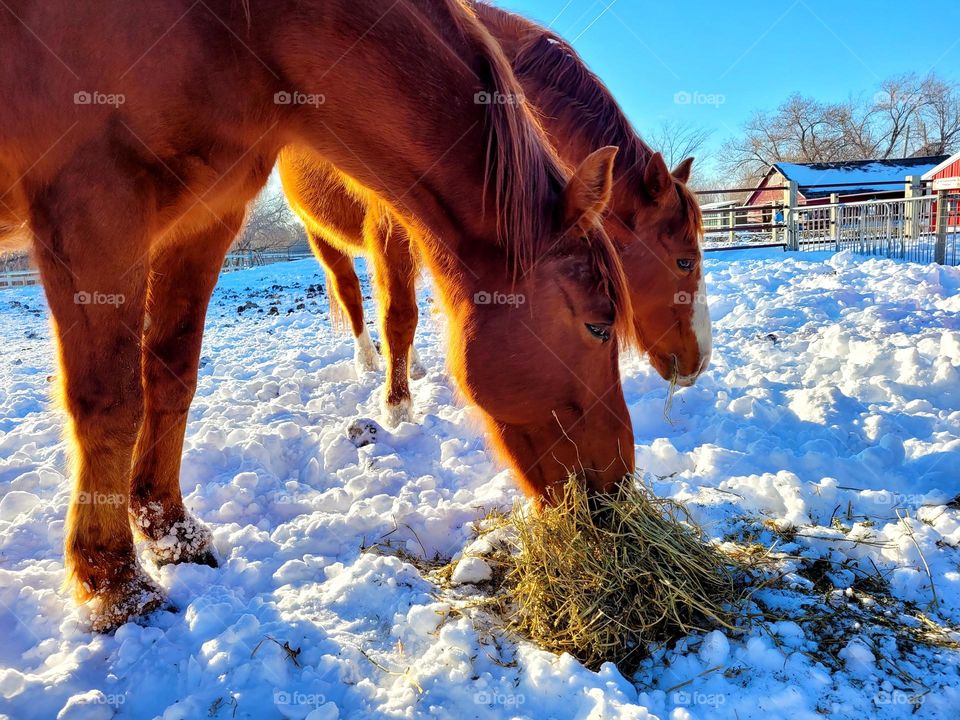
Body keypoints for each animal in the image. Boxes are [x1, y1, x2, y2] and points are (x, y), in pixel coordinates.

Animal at [0, 0, 639, 631]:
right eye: (599, 325)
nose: (617, 488)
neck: (237, 28)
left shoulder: (206, 215)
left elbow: (171, 374)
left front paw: (171, 536)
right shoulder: (95, 210)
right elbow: (112, 403)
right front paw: (117, 586)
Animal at [279, 1, 710, 427]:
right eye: (685, 261)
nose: (701, 361)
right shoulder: (391, 225)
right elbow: (398, 315)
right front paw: (397, 409)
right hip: (321, 236)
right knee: (351, 293)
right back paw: (368, 362)